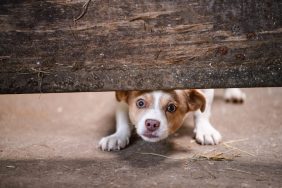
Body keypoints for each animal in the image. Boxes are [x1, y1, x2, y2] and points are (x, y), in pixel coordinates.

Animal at [99, 88, 245, 151]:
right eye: (140, 103)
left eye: (171, 107)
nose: (152, 124)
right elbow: (122, 115)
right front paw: (117, 136)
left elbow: (203, 110)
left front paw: (205, 130)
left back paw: (233, 92)